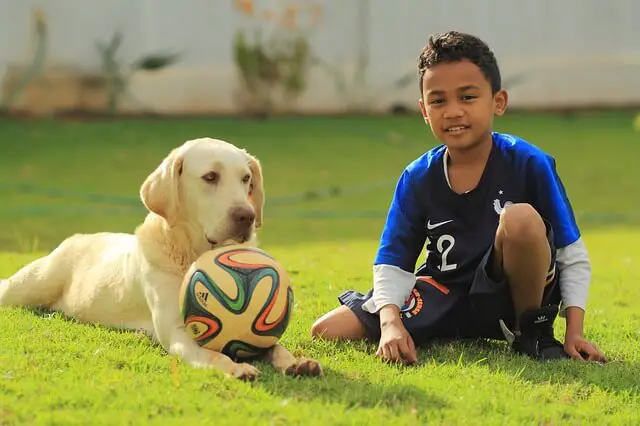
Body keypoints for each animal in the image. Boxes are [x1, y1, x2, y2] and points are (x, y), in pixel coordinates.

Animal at [2, 138, 324, 382]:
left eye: (246, 179)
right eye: (210, 177)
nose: (246, 216)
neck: (191, 253)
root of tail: (76, 237)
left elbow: (275, 345)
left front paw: (295, 361)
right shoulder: (178, 332)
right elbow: (211, 354)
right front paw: (235, 368)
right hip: (29, 285)